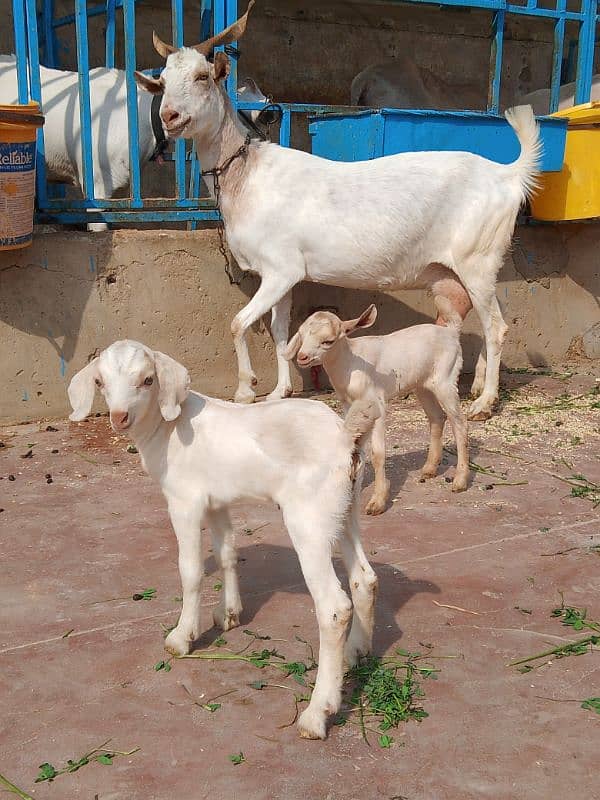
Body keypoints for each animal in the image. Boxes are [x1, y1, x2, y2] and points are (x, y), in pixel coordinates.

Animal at [135, 1, 540, 418]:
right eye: (162, 81)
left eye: (202, 76)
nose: (169, 117)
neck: (247, 175)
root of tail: (508, 173)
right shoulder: (283, 275)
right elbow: (280, 331)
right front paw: (280, 392)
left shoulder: (281, 269)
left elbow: (238, 323)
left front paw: (246, 389)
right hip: (466, 266)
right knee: (483, 313)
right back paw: (475, 386)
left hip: (477, 258)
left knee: (496, 326)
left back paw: (486, 402)